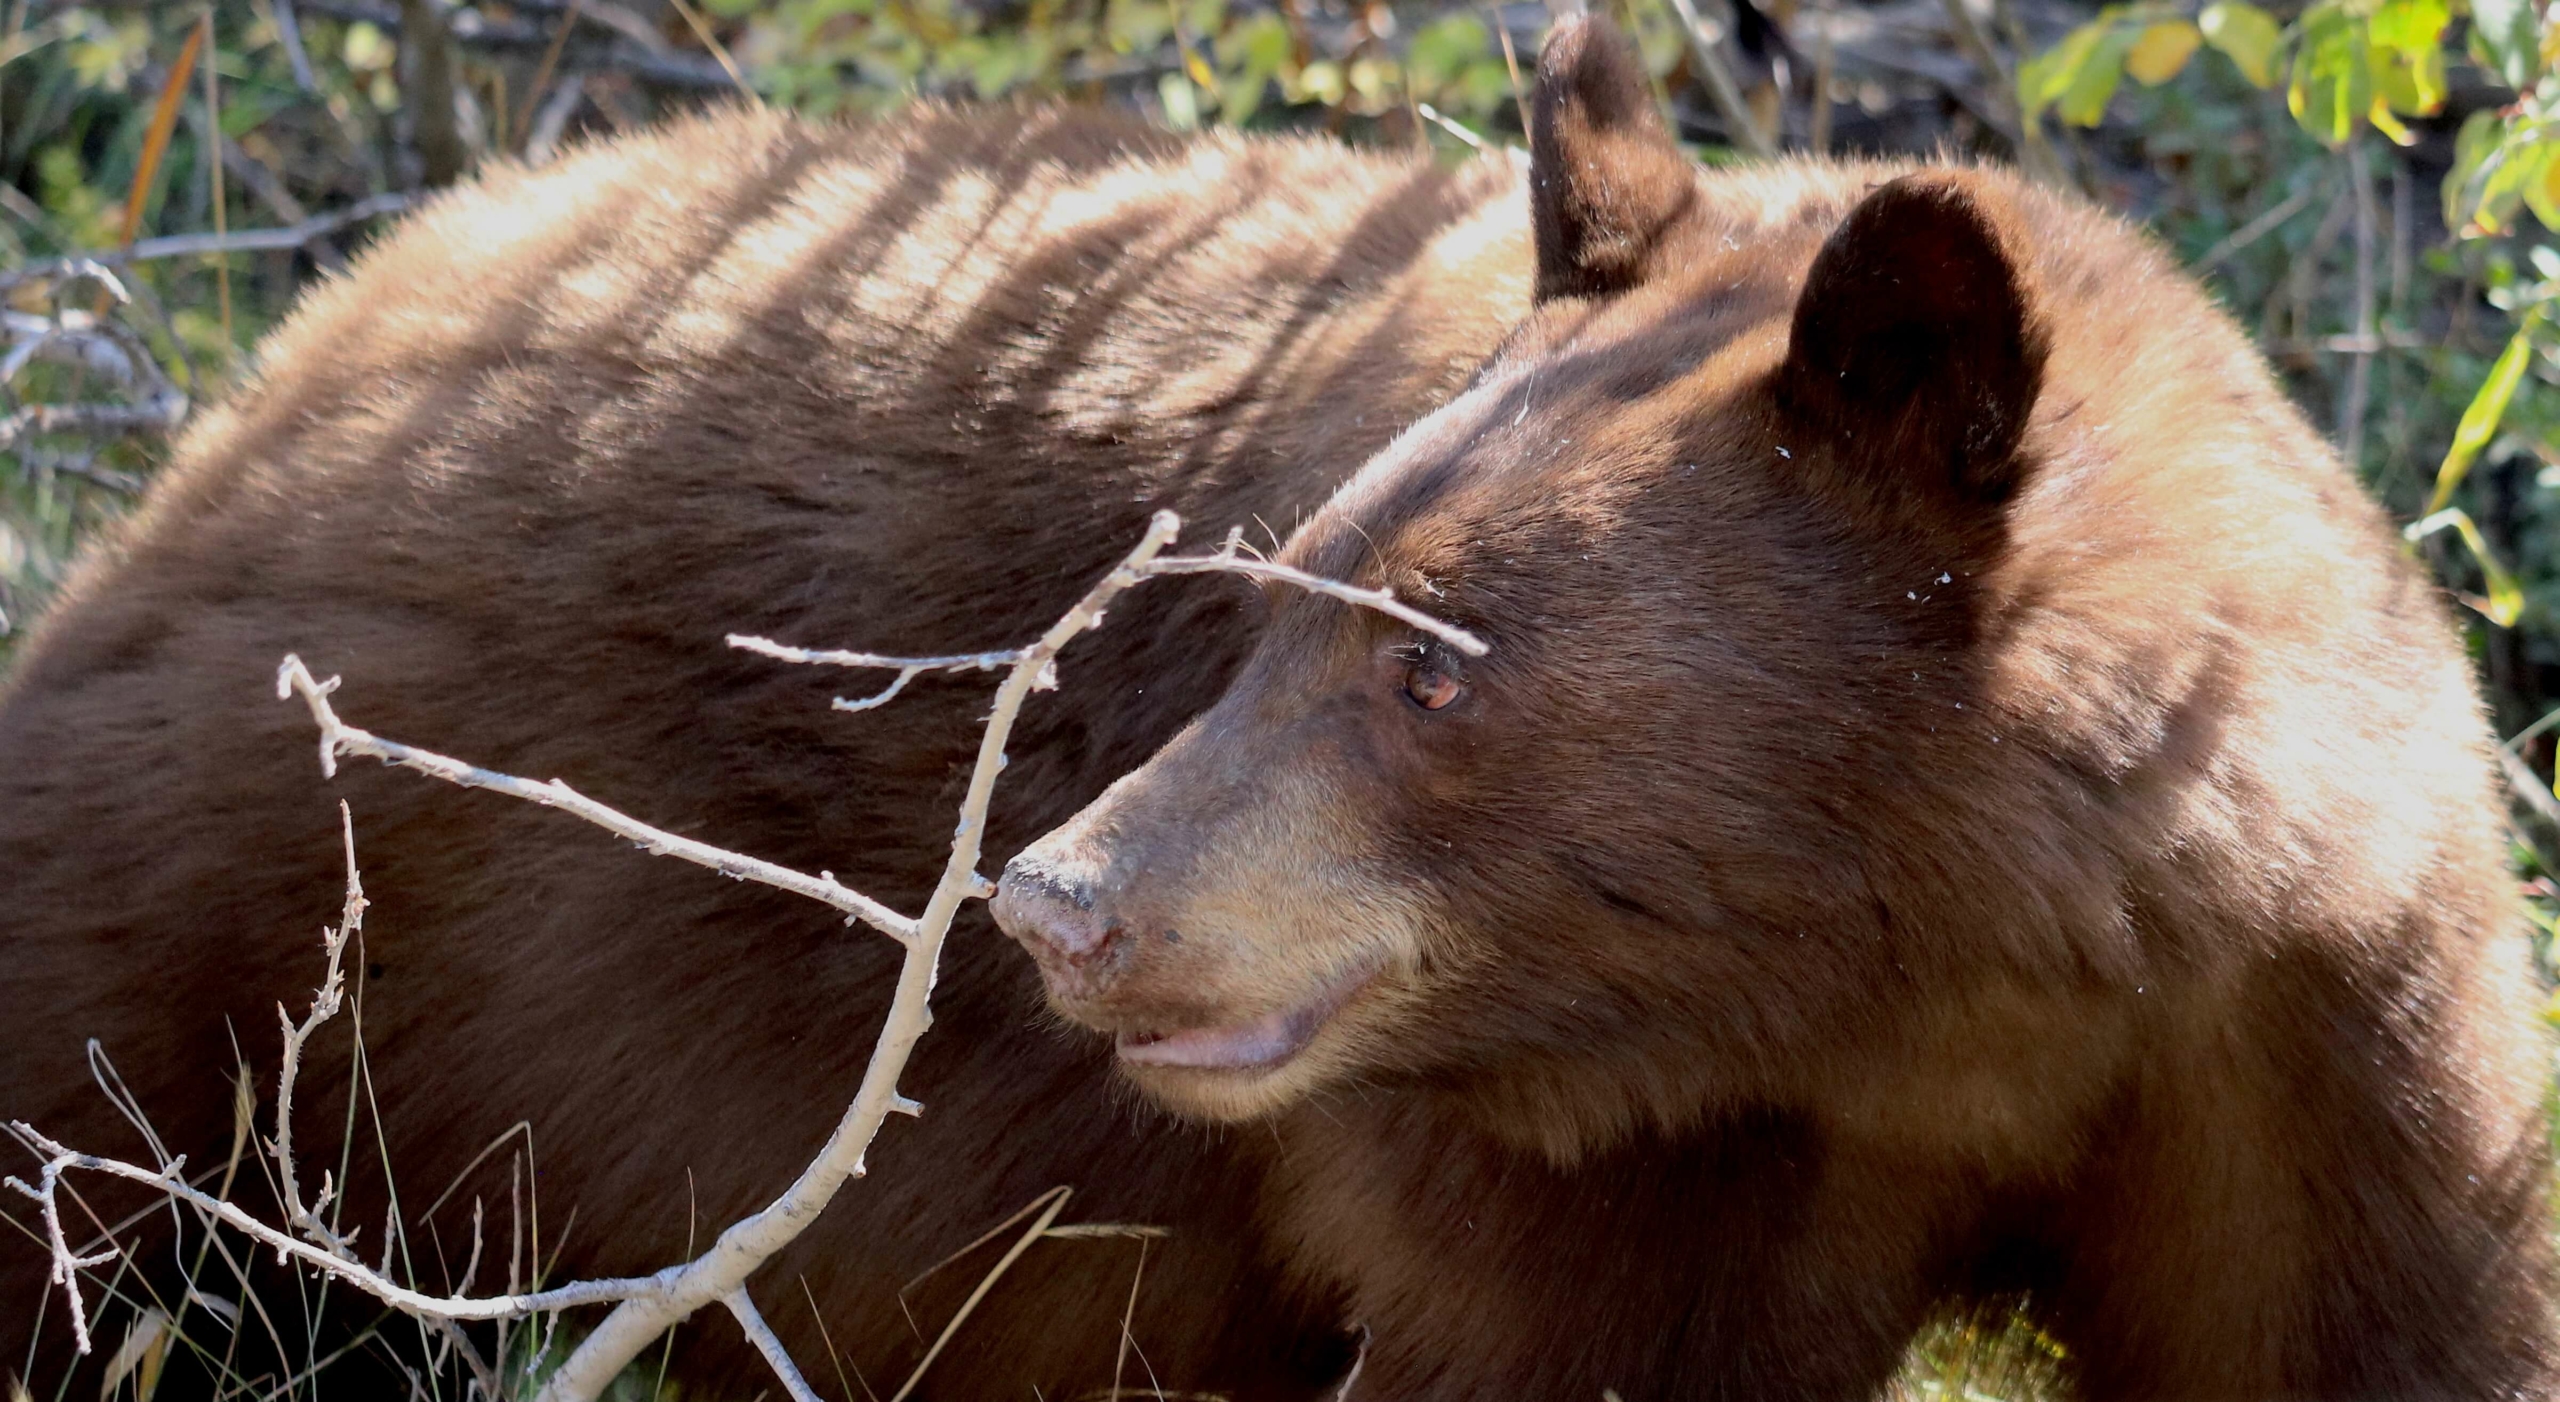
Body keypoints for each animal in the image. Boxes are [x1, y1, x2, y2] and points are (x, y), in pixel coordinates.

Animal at [3, 14, 2552, 1402]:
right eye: (1264, 598)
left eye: (1431, 657)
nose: (1052, 902)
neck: (1926, 992)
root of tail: (262, 387)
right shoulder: (1578, 1169)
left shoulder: (2312, 1022)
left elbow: (2368, 1325)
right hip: (231, 904)